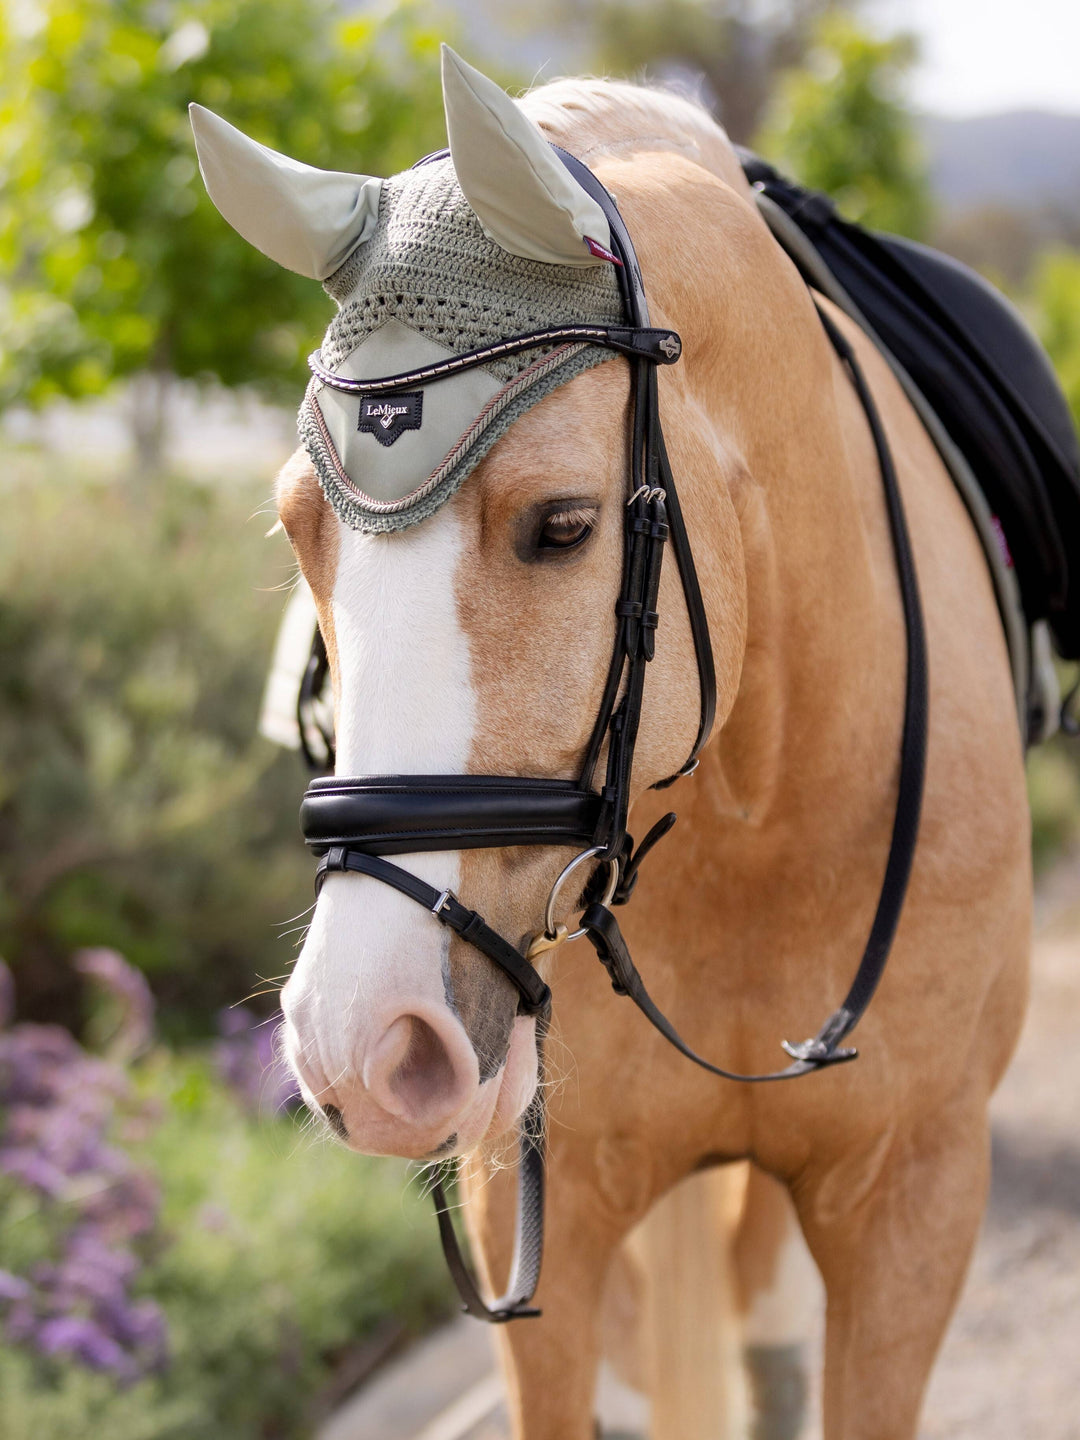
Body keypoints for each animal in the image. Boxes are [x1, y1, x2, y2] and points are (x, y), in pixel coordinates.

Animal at [192, 50, 1031, 1440]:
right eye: (297, 529)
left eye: (564, 525)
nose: (362, 1046)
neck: (762, 803)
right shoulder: (539, 1203)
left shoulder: (914, 1196)